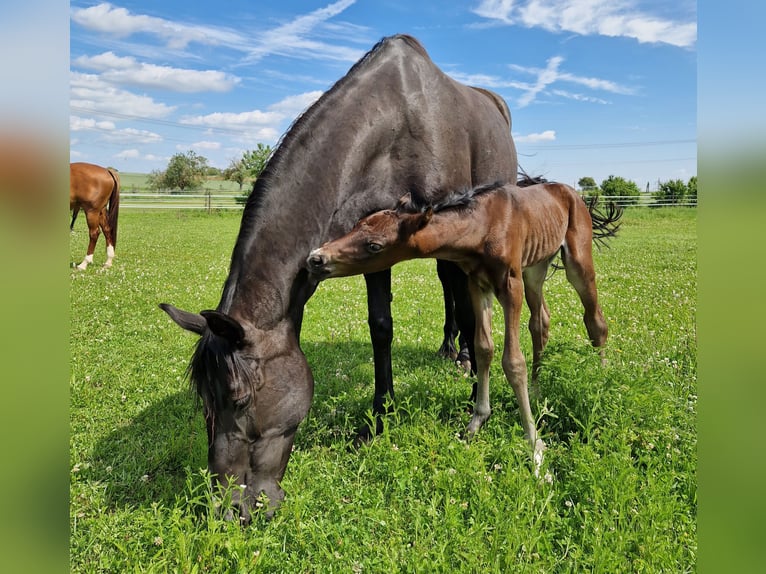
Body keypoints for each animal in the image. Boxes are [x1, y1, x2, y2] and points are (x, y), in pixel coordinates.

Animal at [162, 33, 520, 524]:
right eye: (204, 402)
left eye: (238, 399)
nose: (232, 510)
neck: (395, 122)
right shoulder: (373, 246)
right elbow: (381, 328)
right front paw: (381, 419)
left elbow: (467, 310)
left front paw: (472, 404)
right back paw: (451, 348)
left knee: (458, 291)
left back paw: (462, 354)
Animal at [308, 182, 624, 474]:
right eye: (357, 225)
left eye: (374, 245)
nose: (316, 258)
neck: (482, 228)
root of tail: (570, 193)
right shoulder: (478, 285)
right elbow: (483, 348)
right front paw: (477, 421)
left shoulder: (510, 285)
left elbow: (513, 362)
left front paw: (534, 447)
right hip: (536, 266)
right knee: (540, 321)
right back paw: (536, 388)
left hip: (577, 261)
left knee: (595, 320)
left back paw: (601, 376)